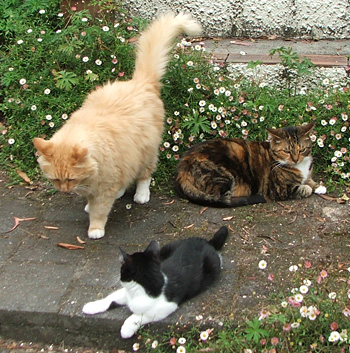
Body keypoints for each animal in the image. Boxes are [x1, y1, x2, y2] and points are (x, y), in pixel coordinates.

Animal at [33, 13, 202, 239]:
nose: (64, 191)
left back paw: (141, 195)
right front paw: (88, 204)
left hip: (146, 153)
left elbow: (99, 210)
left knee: (144, 175)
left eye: (69, 179)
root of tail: (141, 82)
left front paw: (95, 228)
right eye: (55, 180)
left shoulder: (104, 186)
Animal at [82, 226, 230, 338]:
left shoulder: (166, 307)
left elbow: (139, 316)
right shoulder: (126, 293)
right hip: (165, 248)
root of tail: (207, 242)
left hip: (213, 266)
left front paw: (126, 328)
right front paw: (91, 306)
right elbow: (110, 298)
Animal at [175, 123, 326, 206]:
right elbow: (303, 188)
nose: (295, 159)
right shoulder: (279, 189)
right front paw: (309, 188)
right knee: (223, 197)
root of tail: (181, 168)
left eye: (302, 149)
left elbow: (310, 181)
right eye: (286, 151)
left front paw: (319, 187)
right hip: (222, 176)